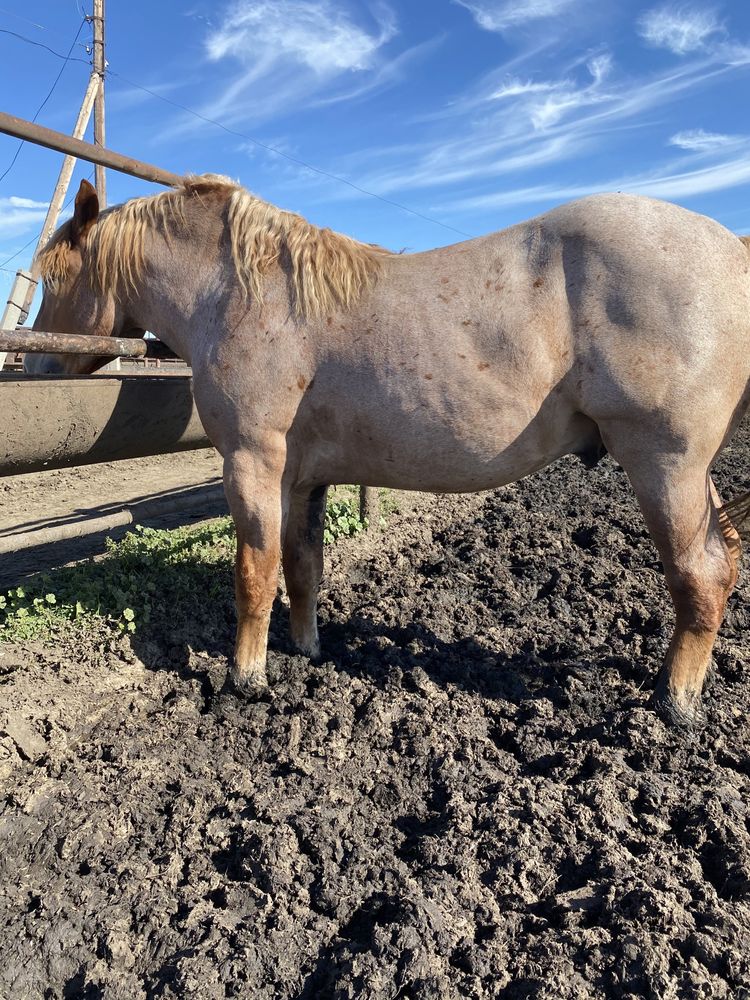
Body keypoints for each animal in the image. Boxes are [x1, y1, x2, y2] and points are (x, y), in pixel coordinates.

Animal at [26, 176, 748, 728]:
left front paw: (246, 677)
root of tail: (729, 251)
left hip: (666, 464)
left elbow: (255, 573)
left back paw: (675, 702)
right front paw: (308, 649)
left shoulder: (252, 463)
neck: (244, 295)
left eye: (53, 279)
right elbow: (303, 565)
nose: (33, 366)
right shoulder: (301, 477)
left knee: (701, 573)